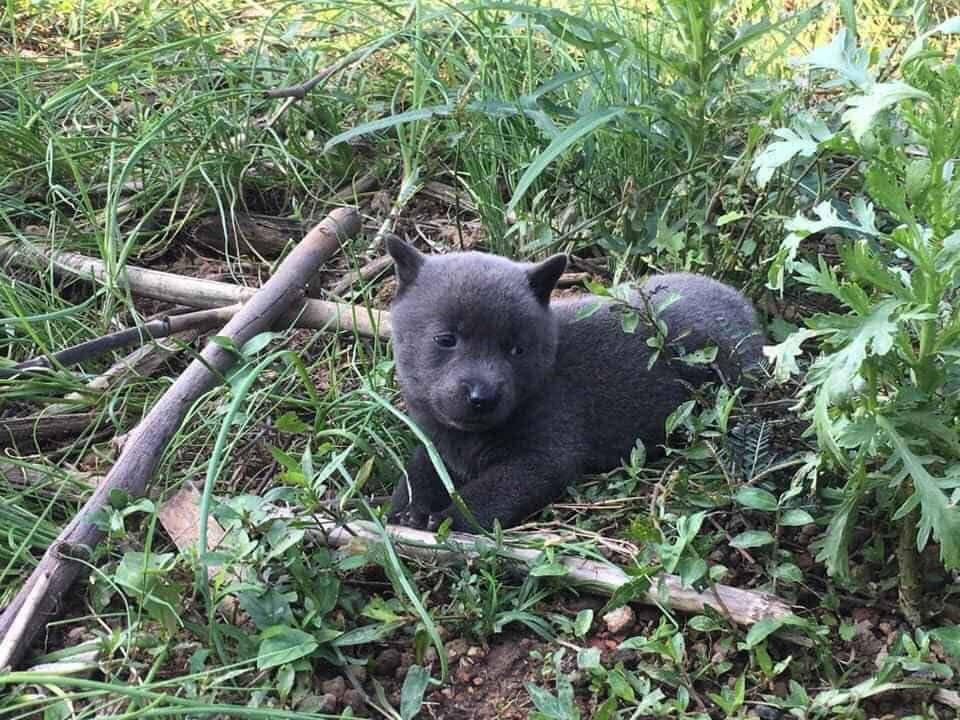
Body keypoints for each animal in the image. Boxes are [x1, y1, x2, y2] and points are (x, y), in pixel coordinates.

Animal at [386, 239, 760, 532]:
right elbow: (415, 473)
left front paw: (448, 518)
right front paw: (404, 511)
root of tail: (745, 307)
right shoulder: (434, 440)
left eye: (516, 349)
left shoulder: (544, 456)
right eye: (445, 339)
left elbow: (488, 496)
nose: (483, 397)